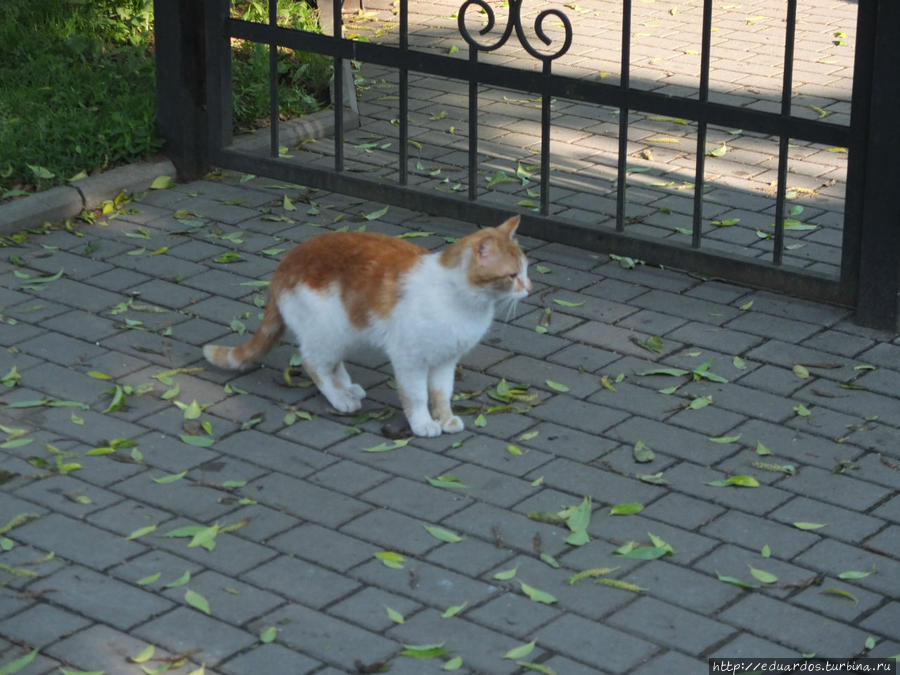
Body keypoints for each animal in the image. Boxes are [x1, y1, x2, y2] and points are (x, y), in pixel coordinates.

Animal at [202, 217, 528, 438]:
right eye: (512, 276)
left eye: (526, 271)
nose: (530, 288)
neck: (463, 301)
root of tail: (285, 263)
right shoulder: (409, 358)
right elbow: (417, 395)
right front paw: (423, 423)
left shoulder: (445, 359)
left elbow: (441, 393)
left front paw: (445, 418)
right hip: (330, 331)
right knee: (313, 363)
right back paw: (339, 398)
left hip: (349, 331)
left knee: (332, 364)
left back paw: (346, 387)